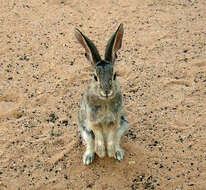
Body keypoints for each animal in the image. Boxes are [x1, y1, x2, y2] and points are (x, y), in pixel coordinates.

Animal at [74, 23, 129, 165]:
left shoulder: (115, 121)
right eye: (95, 77)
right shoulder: (92, 121)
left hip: (124, 125)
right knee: (90, 144)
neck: (105, 101)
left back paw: (117, 153)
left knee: (116, 140)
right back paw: (88, 158)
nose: (106, 91)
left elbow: (111, 136)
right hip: (85, 131)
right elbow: (97, 134)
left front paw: (109, 152)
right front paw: (101, 153)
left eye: (115, 75)